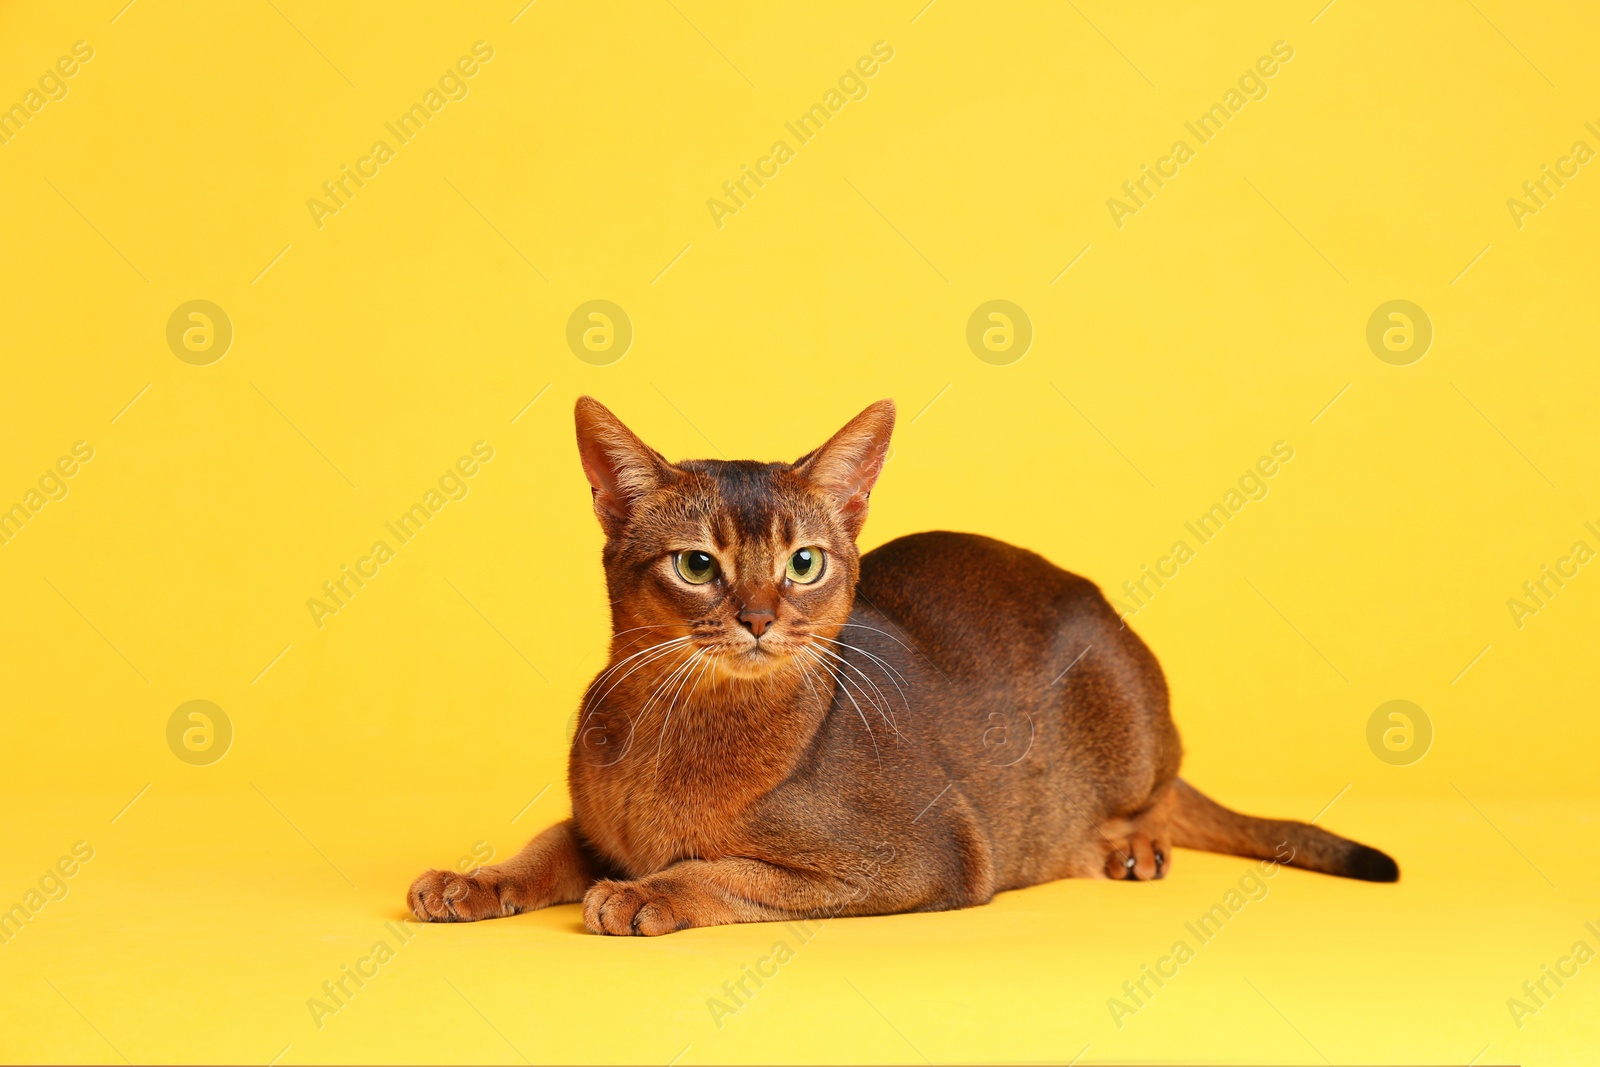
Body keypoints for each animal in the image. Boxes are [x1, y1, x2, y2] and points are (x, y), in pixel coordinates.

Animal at [406, 398, 1395, 934]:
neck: (673, 722)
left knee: (1160, 793)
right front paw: (471, 879)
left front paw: (644, 894)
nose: (758, 618)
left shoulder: (920, 857)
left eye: (804, 561)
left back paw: (1128, 843)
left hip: (1130, 714)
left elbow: (725, 870)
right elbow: (544, 845)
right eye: (696, 565)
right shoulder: (592, 824)